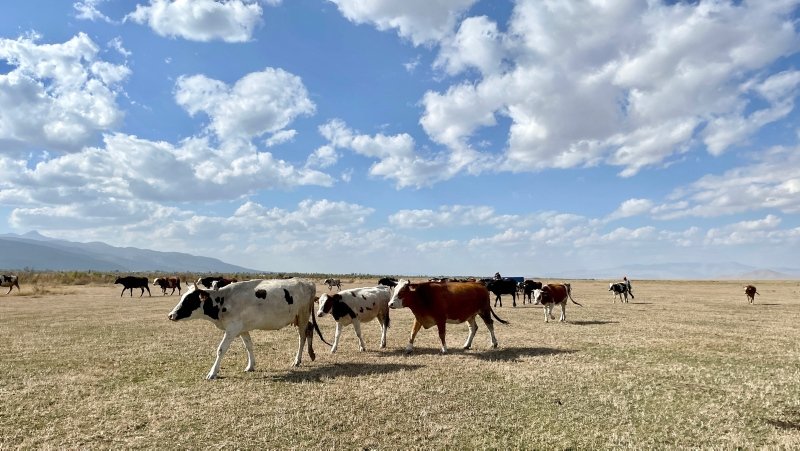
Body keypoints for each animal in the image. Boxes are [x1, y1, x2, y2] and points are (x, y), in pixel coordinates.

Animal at [167, 278, 330, 382]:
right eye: (182, 297)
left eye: (189, 300)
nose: (171, 315)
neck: (223, 300)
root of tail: (308, 282)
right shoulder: (242, 329)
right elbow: (249, 346)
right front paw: (250, 366)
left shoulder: (232, 329)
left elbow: (221, 349)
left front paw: (212, 373)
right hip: (299, 318)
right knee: (310, 330)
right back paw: (311, 354)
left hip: (302, 316)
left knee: (302, 337)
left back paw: (297, 360)